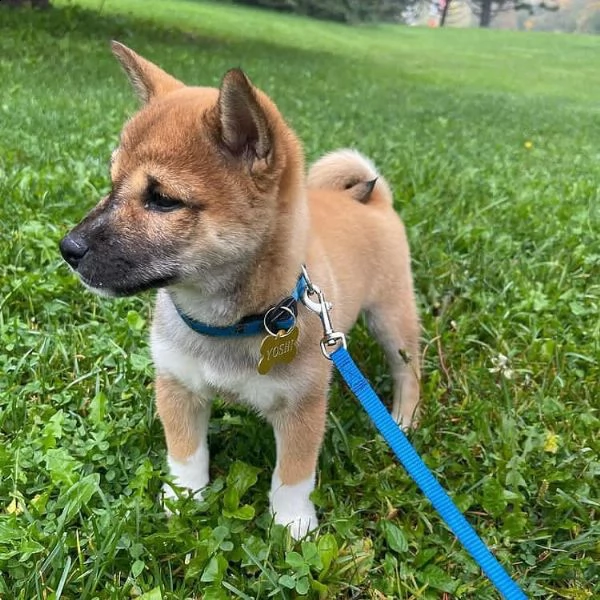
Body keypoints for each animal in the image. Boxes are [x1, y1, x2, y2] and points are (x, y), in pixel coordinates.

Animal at [58, 42, 420, 540]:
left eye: (162, 199)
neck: (228, 324)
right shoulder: (177, 386)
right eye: (112, 183)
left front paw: (292, 524)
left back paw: (403, 420)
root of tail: (371, 199)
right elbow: (186, 454)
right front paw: (184, 500)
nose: (68, 248)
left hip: (391, 317)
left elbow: (293, 473)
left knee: (409, 368)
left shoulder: (304, 405)